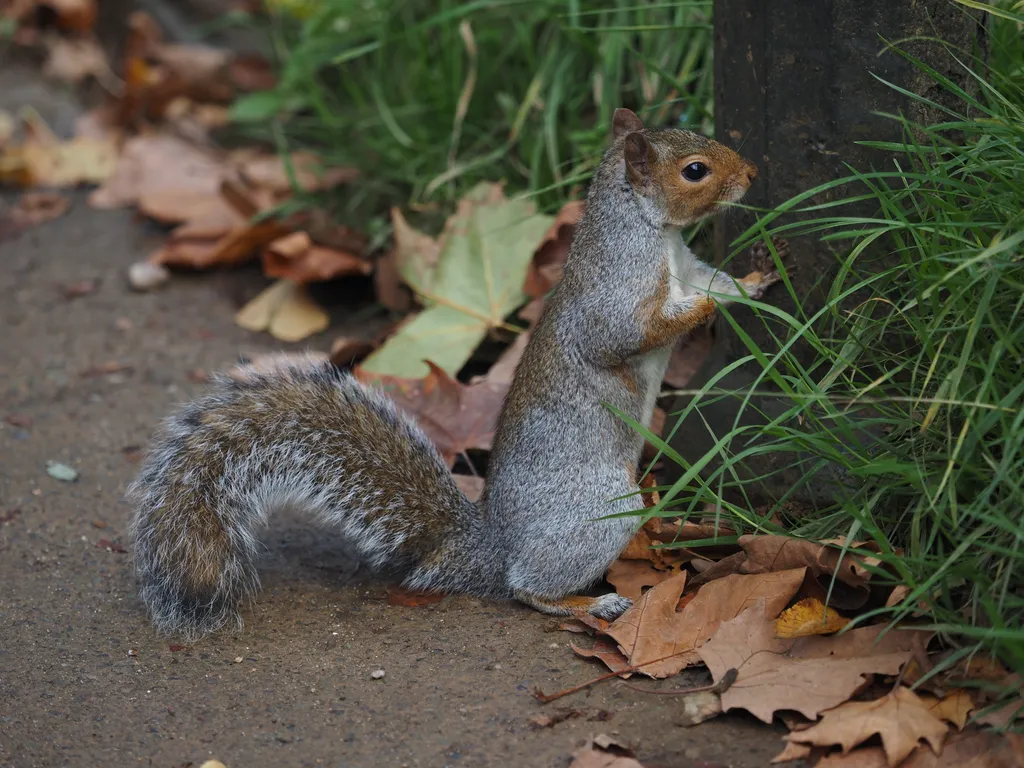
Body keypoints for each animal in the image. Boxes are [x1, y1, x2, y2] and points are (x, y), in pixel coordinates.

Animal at [125, 107, 782, 638]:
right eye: (695, 170)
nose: (753, 173)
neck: (650, 232)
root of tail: (492, 547)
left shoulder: (686, 265)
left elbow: (713, 282)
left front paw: (756, 279)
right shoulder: (615, 293)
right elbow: (630, 332)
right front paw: (718, 304)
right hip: (598, 508)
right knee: (525, 588)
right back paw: (585, 604)